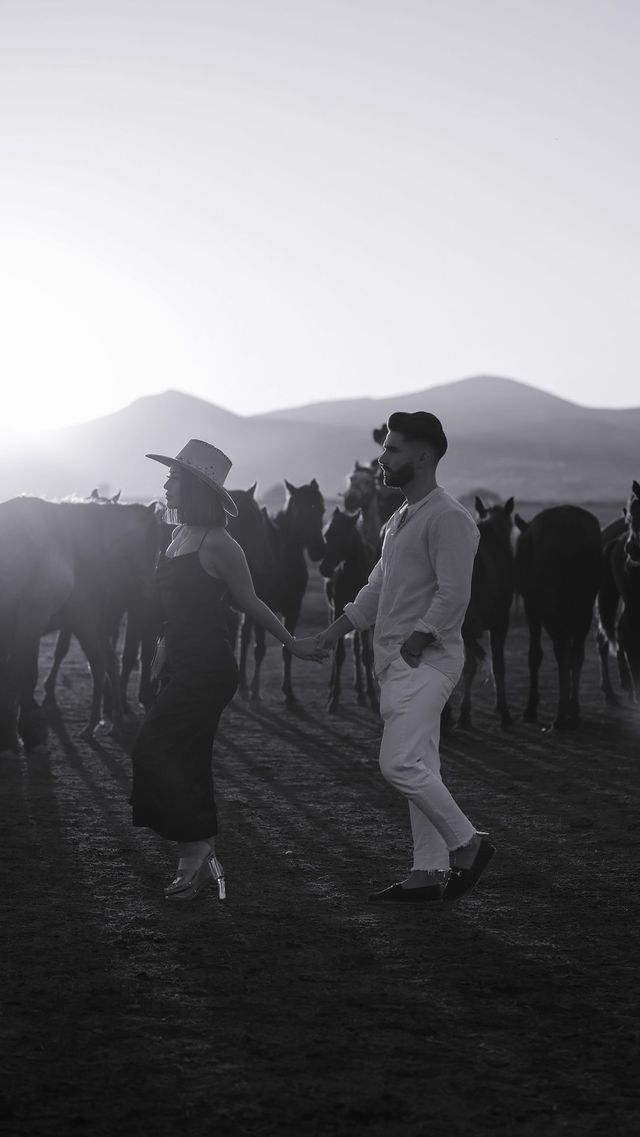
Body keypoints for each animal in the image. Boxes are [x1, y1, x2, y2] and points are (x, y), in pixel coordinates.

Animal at [0, 498, 161, 754]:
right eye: (151, 545)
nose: (153, 592)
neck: (66, 538)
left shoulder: (29, 619)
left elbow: (19, 673)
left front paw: (19, 732)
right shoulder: (31, 618)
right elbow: (19, 672)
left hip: (88, 624)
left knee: (103, 661)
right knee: (104, 661)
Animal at [318, 511, 377, 714]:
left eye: (342, 536)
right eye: (327, 535)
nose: (324, 568)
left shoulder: (365, 617)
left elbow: (366, 655)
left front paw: (372, 696)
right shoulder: (338, 610)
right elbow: (339, 655)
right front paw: (334, 698)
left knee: (358, 649)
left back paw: (360, 691)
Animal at [513, 504, 604, 727]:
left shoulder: (532, 605)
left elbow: (534, 654)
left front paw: (531, 708)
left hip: (552, 608)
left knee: (562, 650)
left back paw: (561, 716)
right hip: (583, 607)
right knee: (577, 652)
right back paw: (573, 710)